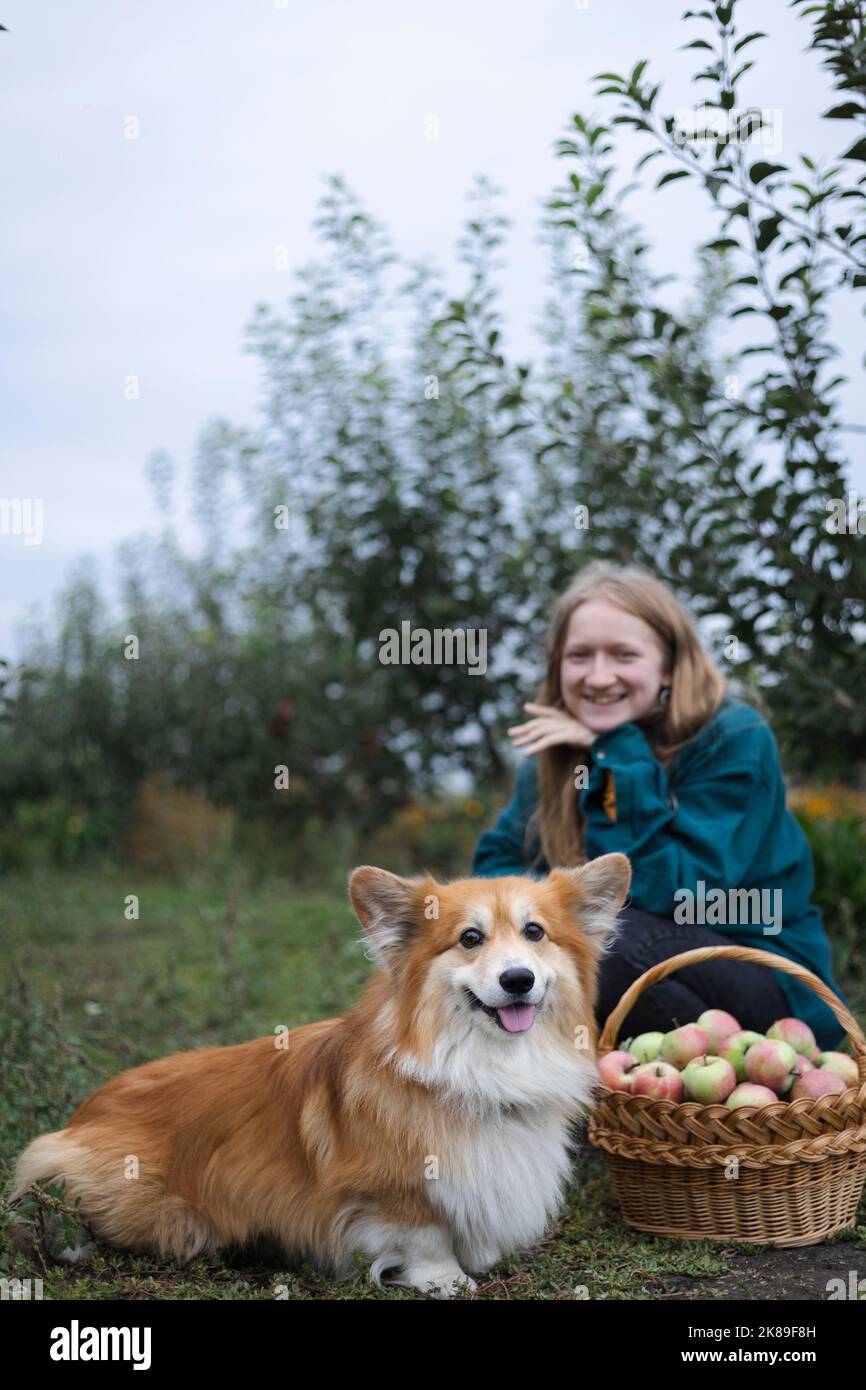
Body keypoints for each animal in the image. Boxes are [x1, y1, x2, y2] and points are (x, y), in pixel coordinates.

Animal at [6, 850, 631, 1295]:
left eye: (535, 932)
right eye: (470, 939)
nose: (517, 980)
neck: (480, 1069)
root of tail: (82, 1114)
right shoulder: (392, 1191)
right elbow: (423, 1236)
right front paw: (446, 1279)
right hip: (157, 1210)